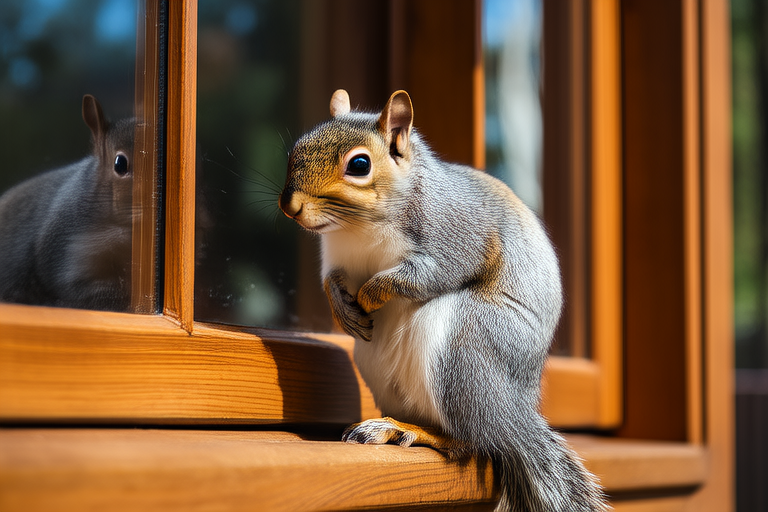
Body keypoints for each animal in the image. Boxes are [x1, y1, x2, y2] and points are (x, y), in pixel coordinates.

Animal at [279, 89, 608, 512]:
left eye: (359, 164)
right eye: (295, 149)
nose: (291, 206)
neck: (356, 228)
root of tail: (513, 413)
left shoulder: (458, 235)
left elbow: (427, 276)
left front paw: (370, 294)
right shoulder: (337, 258)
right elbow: (331, 282)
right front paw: (343, 310)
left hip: (463, 351)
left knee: (471, 441)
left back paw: (410, 431)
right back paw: (395, 426)